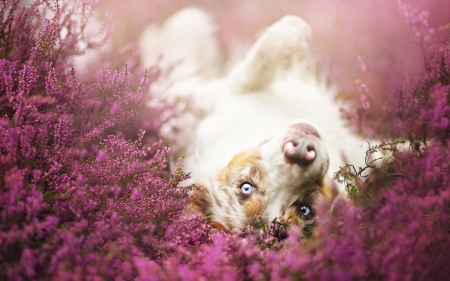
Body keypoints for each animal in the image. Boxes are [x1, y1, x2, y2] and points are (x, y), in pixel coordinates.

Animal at [140, 8, 370, 230]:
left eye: (304, 209)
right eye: (246, 187)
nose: (300, 151)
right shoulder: (230, 90)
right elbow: (274, 46)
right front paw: (297, 30)